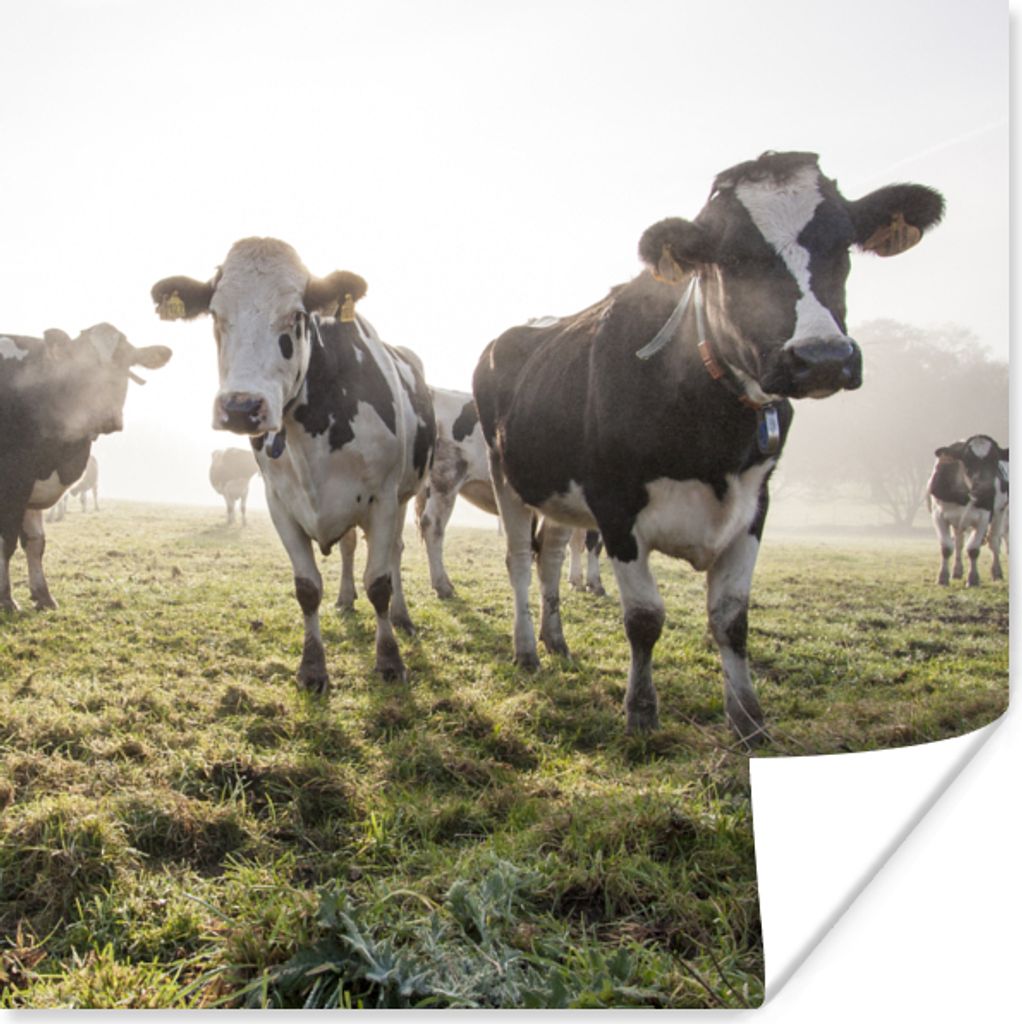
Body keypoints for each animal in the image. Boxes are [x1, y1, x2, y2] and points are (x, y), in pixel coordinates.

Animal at [1, 325, 171, 610]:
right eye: (80, 366)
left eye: (126, 361)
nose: (107, 416)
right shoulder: (13, 482)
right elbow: (6, 541)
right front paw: (6, 599)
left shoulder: (33, 483)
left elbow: (35, 541)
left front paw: (43, 594)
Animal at [151, 238, 436, 691]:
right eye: (215, 314)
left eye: (297, 315)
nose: (241, 407)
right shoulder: (279, 503)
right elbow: (307, 588)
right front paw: (313, 667)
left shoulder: (384, 498)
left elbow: (379, 583)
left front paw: (389, 660)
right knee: (350, 547)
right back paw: (345, 598)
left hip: (406, 493)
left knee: (393, 552)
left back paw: (402, 617)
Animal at [473, 150, 943, 743]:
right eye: (734, 257)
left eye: (841, 245)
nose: (822, 358)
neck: (711, 426)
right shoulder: (615, 503)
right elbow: (645, 617)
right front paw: (641, 712)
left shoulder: (754, 503)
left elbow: (731, 618)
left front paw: (748, 719)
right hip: (507, 476)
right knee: (517, 559)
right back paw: (527, 650)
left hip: (559, 492)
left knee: (550, 557)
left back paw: (556, 641)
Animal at [927, 435, 1009, 586]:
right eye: (967, 460)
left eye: (995, 460)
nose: (986, 489)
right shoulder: (938, 516)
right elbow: (946, 547)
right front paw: (942, 578)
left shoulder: (984, 517)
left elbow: (973, 549)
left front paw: (973, 579)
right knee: (959, 543)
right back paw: (957, 572)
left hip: (1001, 512)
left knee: (994, 542)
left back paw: (997, 573)